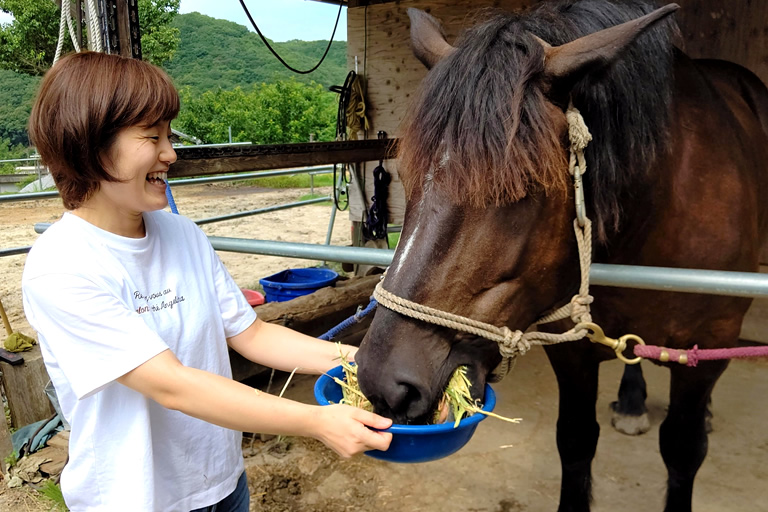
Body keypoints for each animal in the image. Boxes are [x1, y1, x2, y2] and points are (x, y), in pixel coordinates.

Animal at [354, 2, 768, 510]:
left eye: (525, 189)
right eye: (409, 178)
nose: (384, 383)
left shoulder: (709, 346)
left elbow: (682, 449)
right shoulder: (572, 351)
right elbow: (575, 439)